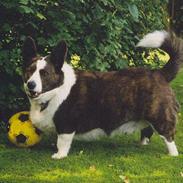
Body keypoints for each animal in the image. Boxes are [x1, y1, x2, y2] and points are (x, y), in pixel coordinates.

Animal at [22, 30, 182, 159]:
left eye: (44, 74)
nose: (30, 84)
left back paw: (172, 154)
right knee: (147, 130)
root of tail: (160, 73)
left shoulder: (66, 125)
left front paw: (59, 155)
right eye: (29, 71)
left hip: (160, 116)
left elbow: (62, 142)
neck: (55, 92)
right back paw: (142, 144)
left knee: (168, 136)